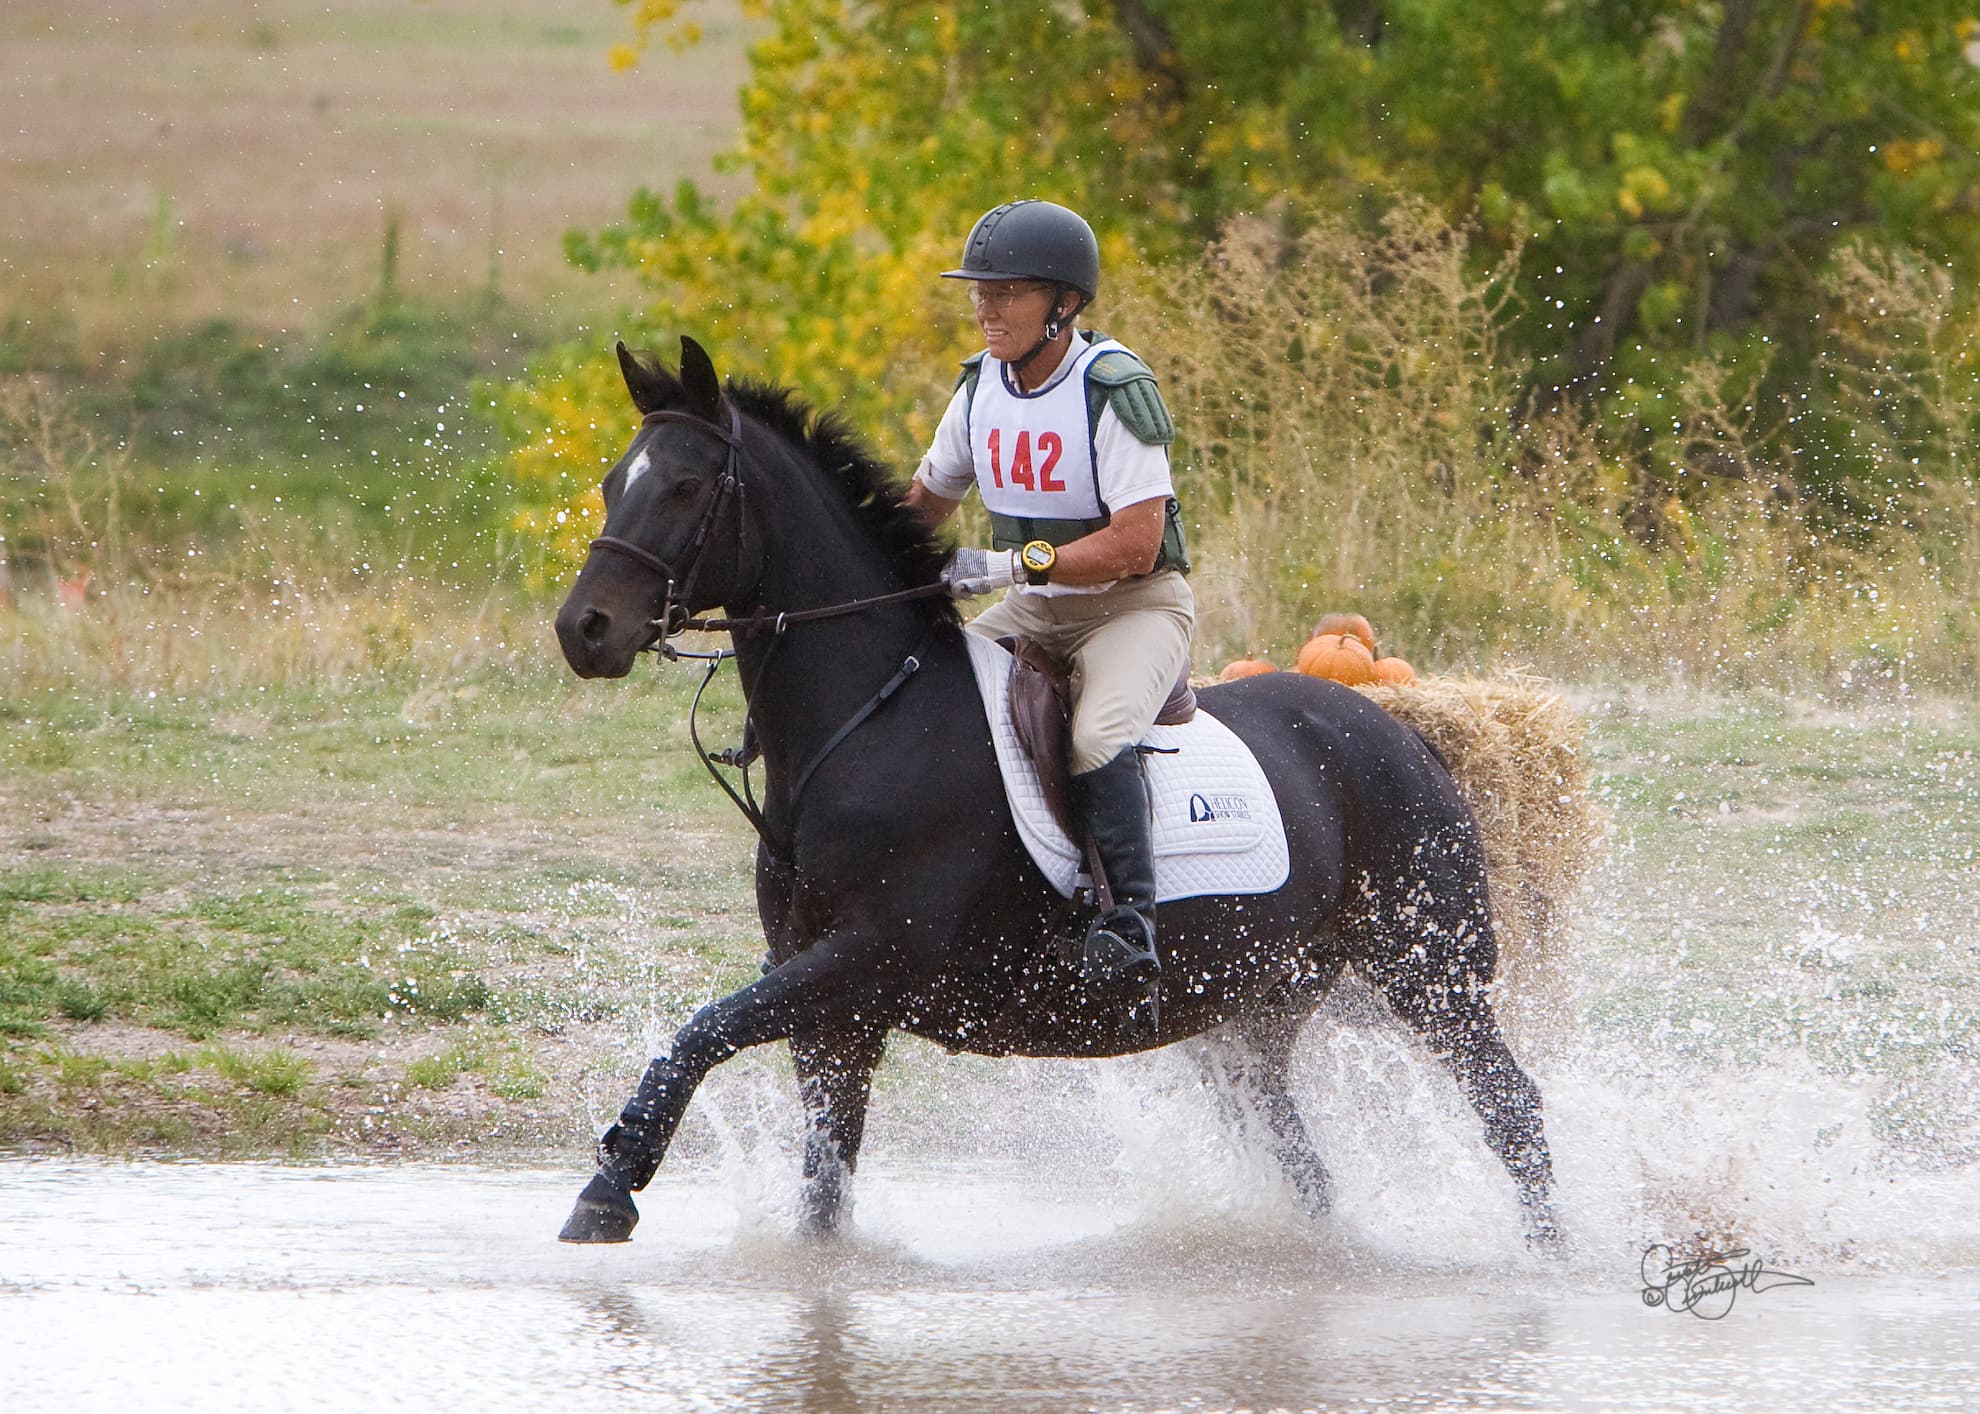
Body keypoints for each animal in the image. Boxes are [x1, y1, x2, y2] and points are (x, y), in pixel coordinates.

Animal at [551, 336, 1561, 1251]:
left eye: (685, 488)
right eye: (611, 483)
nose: (582, 630)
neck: (870, 721)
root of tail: (1400, 730)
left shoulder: (864, 961)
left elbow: (700, 1033)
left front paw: (610, 1187)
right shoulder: (834, 1009)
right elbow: (823, 1183)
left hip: (1429, 973)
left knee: (1511, 1108)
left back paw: (1548, 1255)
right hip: (1253, 1011)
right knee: (1308, 1165)